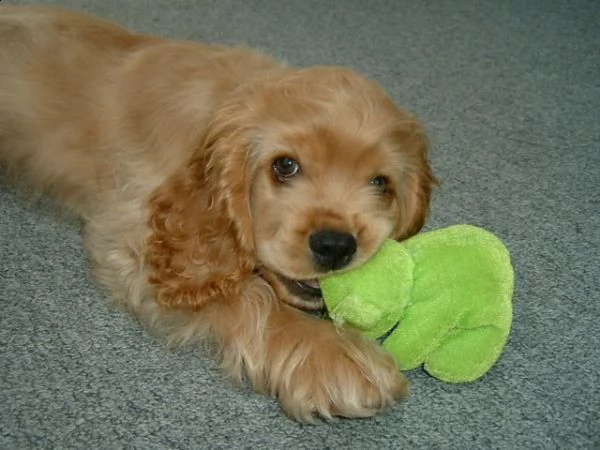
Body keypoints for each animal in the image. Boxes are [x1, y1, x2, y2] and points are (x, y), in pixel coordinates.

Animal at [0, 5, 434, 422]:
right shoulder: (133, 237)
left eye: (380, 182)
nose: (336, 246)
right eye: (285, 166)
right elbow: (248, 295)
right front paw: (334, 354)